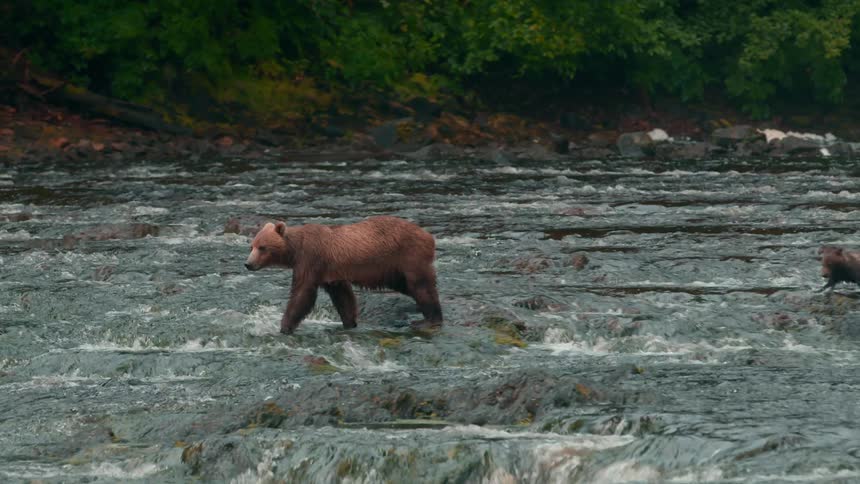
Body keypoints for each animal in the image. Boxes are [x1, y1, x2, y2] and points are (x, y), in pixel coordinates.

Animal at [244, 215, 443, 334]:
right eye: (251, 246)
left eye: (262, 247)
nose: (248, 264)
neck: (294, 251)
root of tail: (429, 236)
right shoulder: (331, 273)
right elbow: (343, 297)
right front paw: (349, 322)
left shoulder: (310, 259)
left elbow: (302, 294)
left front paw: (285, 326)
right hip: (393, 270)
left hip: (407, 256)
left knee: (421, 286)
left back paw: (429, 320)